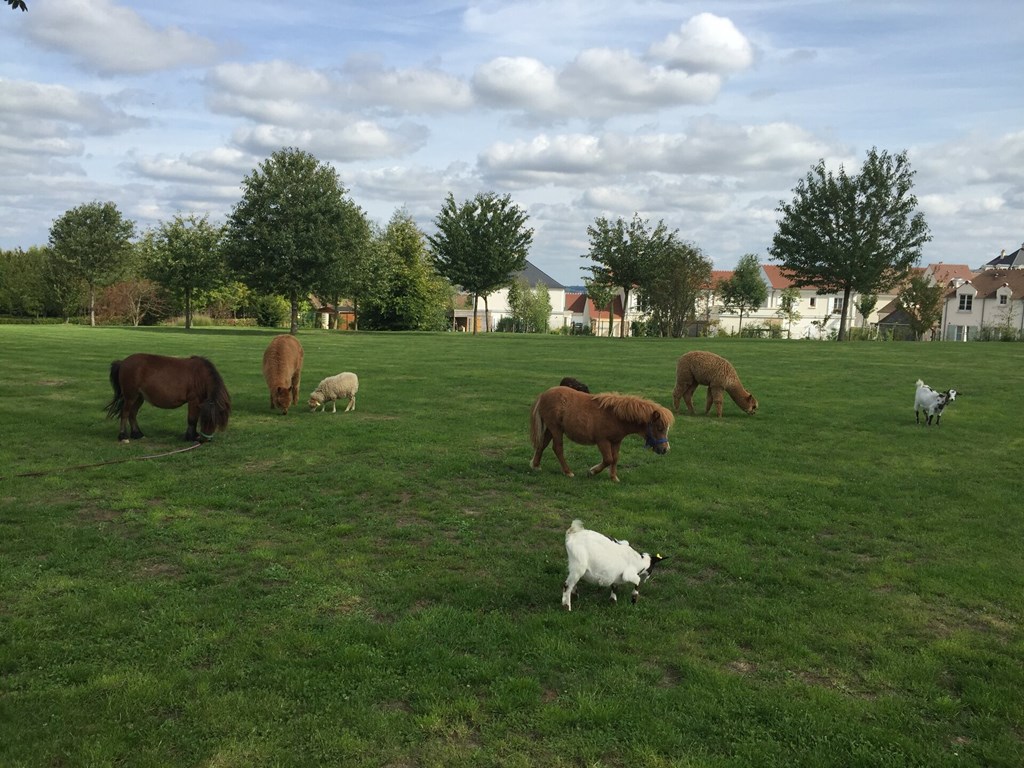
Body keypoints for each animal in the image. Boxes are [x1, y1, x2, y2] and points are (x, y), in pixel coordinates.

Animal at [104, 354, 232, 444]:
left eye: (216, 420)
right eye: (205, 419)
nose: (205, 440)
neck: (200, 375)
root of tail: (122, 362)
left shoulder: (200, 402)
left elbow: (194, 419)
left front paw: (194, 435)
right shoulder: (193, 400)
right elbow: (192, 419)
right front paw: (190, 437)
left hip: (139, 397)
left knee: (132, 414)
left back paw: (137, 434)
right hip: (130, 396)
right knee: (125, 413)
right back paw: (123, 437)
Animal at [532, 387, 675, 483]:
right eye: (659, 428)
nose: (665, 449)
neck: (615, 416)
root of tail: (544, 394)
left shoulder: (616, 441)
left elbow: (615, 458)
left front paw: (613, 477)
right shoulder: (602, 441)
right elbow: (608, 459)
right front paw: (592, 471)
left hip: (550, 429)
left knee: (542, 445)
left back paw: (536, 465)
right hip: (556, 429)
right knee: (558, 448)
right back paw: (568, 472)